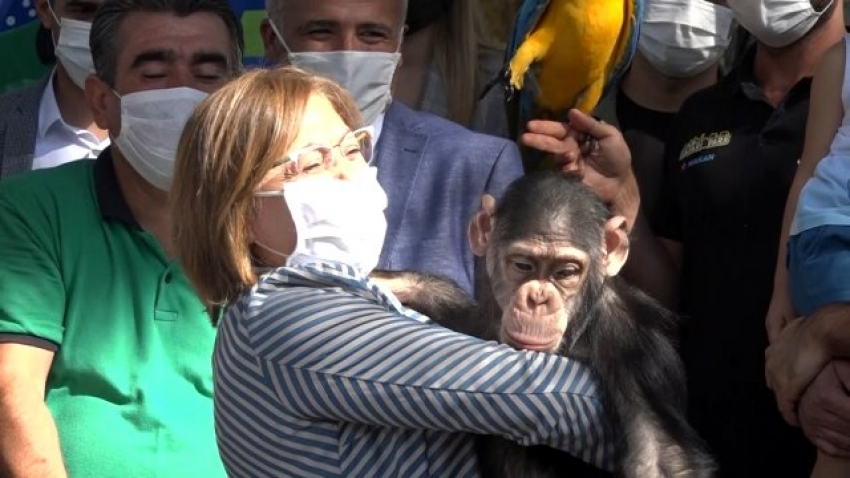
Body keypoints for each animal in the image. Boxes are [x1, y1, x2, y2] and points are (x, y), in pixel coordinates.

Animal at [378, 173, 716, 478]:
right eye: (522, 265)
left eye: (566, 272)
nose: (538, 299)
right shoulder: (487, 322)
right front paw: (400, 283)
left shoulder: (635, 347)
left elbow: (662, 461)